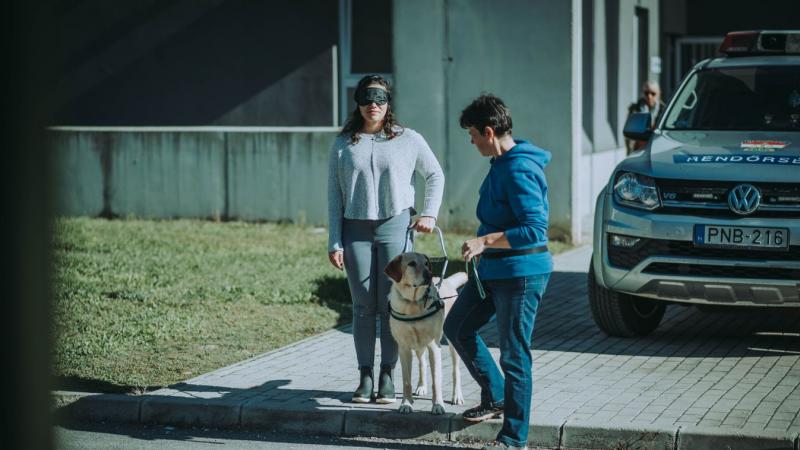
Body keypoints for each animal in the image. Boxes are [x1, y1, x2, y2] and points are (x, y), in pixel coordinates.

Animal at [382, 251, 466, 414]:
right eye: (411, 263)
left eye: (426, 263)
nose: (429, 275)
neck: (413, 303)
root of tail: (446, 281)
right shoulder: (404, 348)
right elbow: (406, 381)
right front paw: (406, 404)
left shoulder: (434, 346)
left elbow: (436, 381)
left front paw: (438, 405)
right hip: (418, 344)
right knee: (422, 363)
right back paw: (421, 387)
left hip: (452, 343)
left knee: (456, 371)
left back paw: (457, 396)